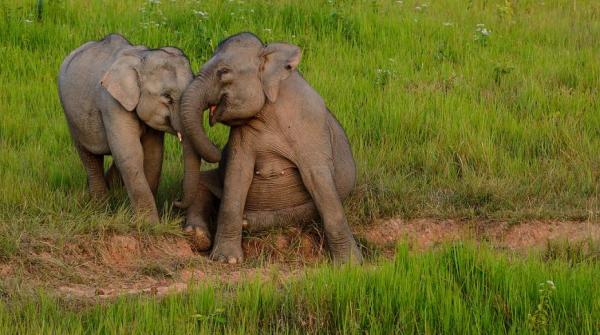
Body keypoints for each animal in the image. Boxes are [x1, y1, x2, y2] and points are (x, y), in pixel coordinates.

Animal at [58, 33, 209, 223]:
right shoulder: (111, 103)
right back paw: (101, 207)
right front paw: (149, 224)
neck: (141, 58)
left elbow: (153, 154)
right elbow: (131, 153)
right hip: (71, 117)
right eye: (167, 97)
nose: (176, 201)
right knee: (90, 156)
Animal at [178, 33, 364, 266]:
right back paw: (198, 235)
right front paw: (226, 260)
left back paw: (247, 221)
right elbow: (236, 176)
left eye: (224, 72)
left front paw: (350, 264)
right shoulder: (241, 135)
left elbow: (319, 181)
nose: (219, 150)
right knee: (201, 183)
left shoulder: (311, 125)